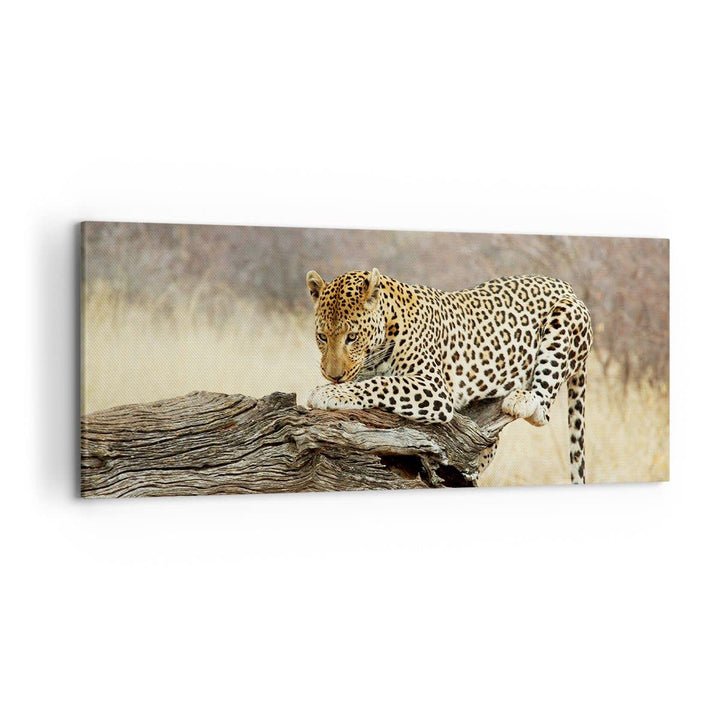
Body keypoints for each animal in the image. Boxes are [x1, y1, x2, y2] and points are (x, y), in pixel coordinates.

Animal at [305, 268, 593, 484]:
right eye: (322, 337)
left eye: (352, 337)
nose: (333, 376)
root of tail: (566, 285)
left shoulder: (433, 388)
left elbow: (381, 384)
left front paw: (327, 393)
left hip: (565, 316)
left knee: (543, 410)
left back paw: (522, 400)